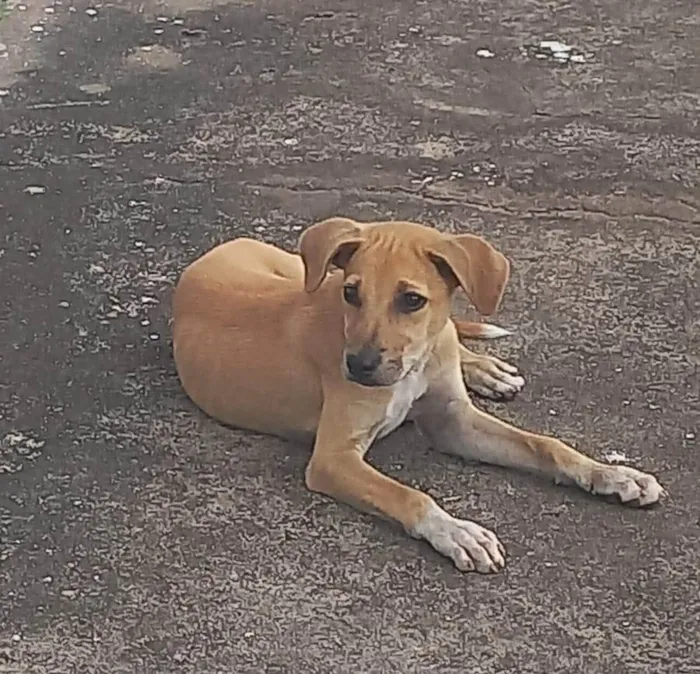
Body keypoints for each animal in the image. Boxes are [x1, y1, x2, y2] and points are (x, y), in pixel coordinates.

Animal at [172, 217, 664, 572]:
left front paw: (612, 474)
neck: (414, 363)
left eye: (411, 300)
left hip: (302, 270)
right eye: (352, 294)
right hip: (313, 273)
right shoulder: (332, 458)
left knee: (454, 334)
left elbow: (546, 445)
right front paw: (457, 531)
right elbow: (408, 495)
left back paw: (485, 370)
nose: (358, 366)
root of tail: (217, 249)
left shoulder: (454, 421)